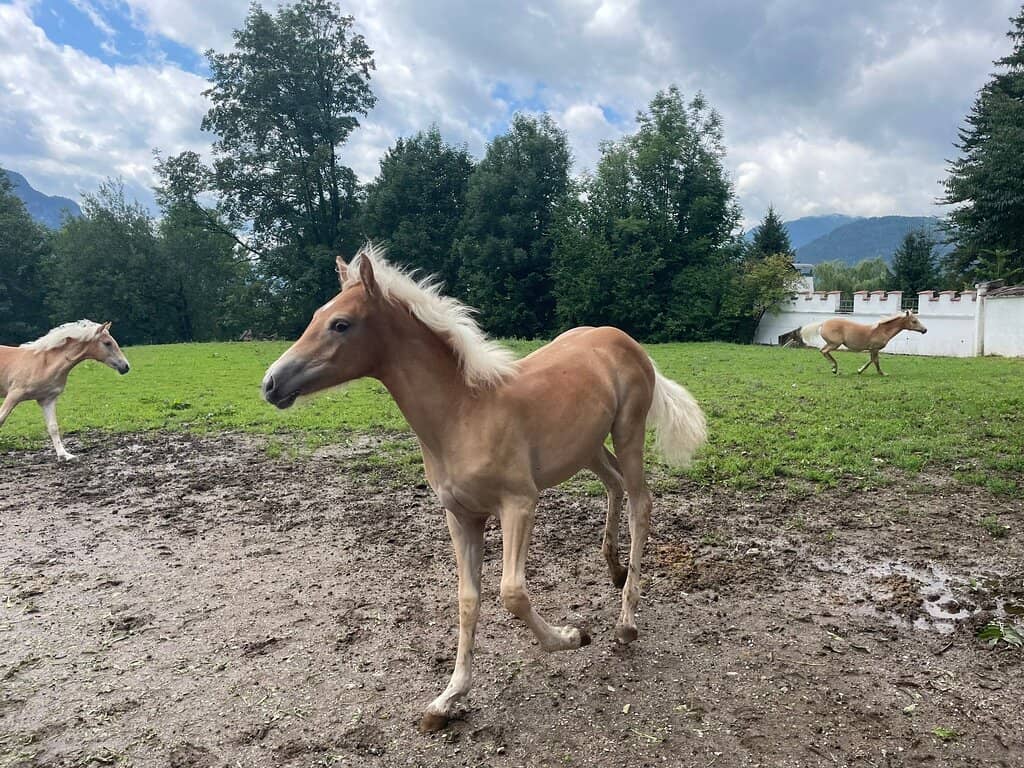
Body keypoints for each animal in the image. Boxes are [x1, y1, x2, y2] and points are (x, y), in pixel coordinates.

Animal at [0, 320, 130, 460]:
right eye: (107, 343)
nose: (126, 366)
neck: (44, 363)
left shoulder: (47, 400)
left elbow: (53, 427)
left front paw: (64, 455)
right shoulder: (14, 395)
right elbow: (1, 419)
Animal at [262, 244, 707, 732]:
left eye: (340, 324)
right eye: (316, 315)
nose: (271, 383)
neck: (462, 415)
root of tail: (625, 340)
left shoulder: (519, 504)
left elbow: (512, 593)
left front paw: (573, 636)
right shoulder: (461, 516)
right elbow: (467, 600)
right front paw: (446, 700)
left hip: (629, 432)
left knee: (640, 503)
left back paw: (626, 622)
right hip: (586, 447)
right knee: (614, 485)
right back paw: (614, 569)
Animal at [799, 309, 927, 375]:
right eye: (914, 321)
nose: (925, 330)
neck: (882, 330)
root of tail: (823, 323)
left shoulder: (872, 349)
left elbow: (871, 360)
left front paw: (859, 370)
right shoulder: (875, 349)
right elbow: (875, 361)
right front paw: (882, 373)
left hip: (831, 343)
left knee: (822, 350)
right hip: (835, 344)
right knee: (824, 351)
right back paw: (834, 368)